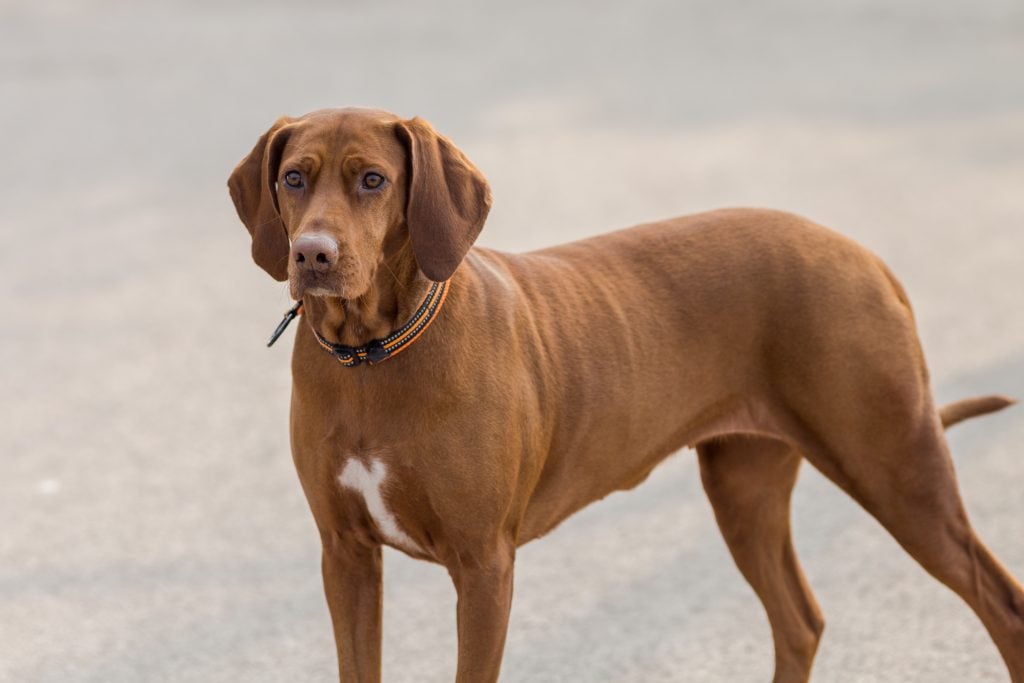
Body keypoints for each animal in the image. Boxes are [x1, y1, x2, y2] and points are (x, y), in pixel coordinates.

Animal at [232, 108, 1024, 683]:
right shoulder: (346, 554)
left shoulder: (483, 564)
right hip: (744, 483)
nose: (313, 254)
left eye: (372, 180)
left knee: (1002, 605)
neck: (374, 353)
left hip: (895, 467)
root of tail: (865, 256)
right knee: (800, 620)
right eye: (294, 178)